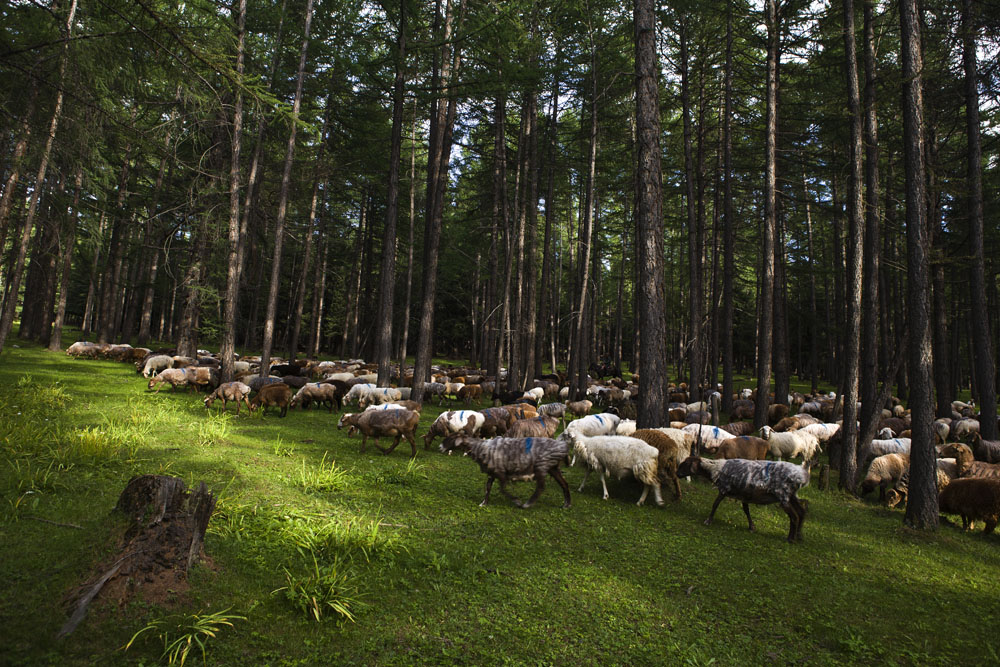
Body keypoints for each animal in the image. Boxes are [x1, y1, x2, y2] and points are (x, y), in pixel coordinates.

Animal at [672, 456, 812, 544]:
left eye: (685, 464)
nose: (677, 474)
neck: (715, 469)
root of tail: (802, 476)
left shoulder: (724, 488)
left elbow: (715, 504)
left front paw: (708, 520)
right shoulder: (744, 494)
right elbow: (746, 510)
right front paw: (752, 527)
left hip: (783, 495)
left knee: (794, 517)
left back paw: (790, 539)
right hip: (792, 495)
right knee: (802, 512)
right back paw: (799, 536)